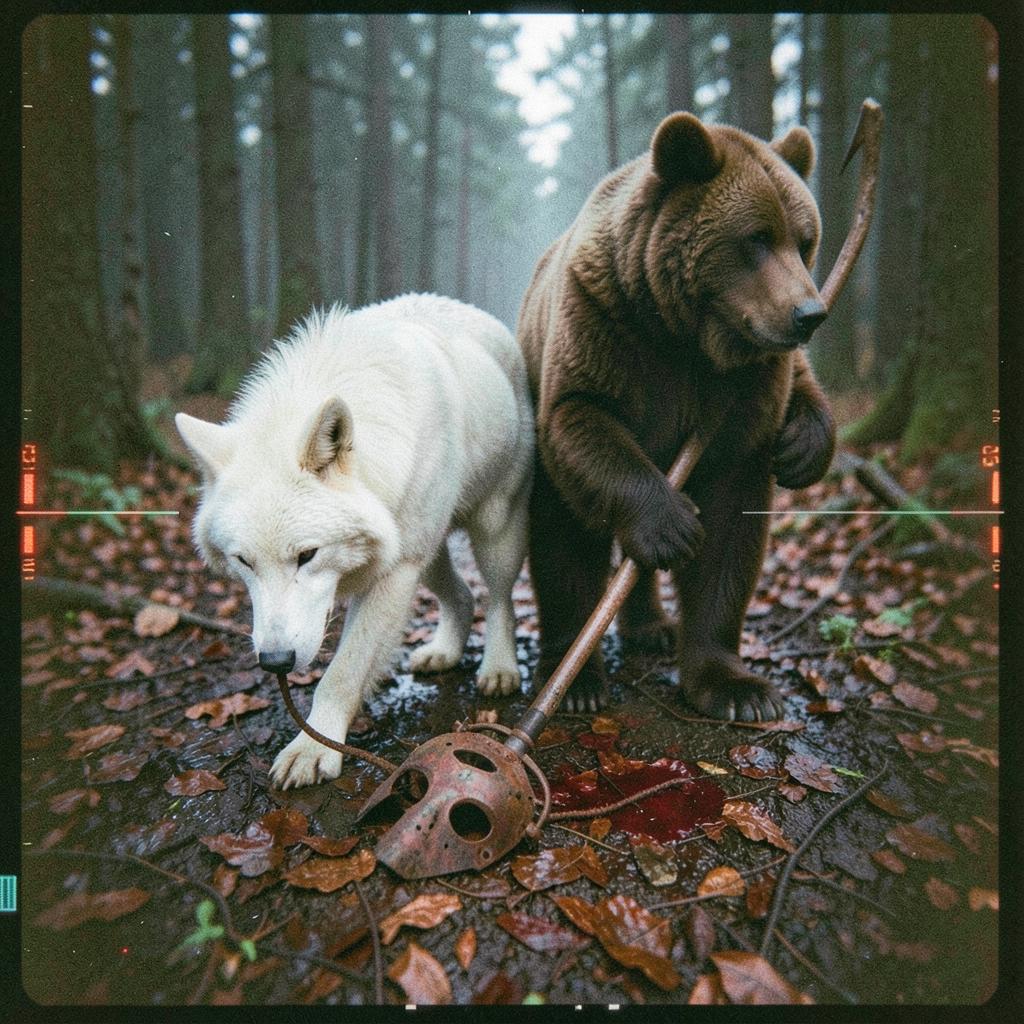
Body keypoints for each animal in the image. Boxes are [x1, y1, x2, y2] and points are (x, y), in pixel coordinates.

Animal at [175, 294, 534, 789]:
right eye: (244, 562)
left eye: (307, 555)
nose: (275, 661)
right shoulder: (402, 559)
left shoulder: (397, 570)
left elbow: (342, 672)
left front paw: (313, 748)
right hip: (429, 552)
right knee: (462, 595)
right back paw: (445, 650)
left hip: (492, 529)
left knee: (499, 599)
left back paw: (499, 667)